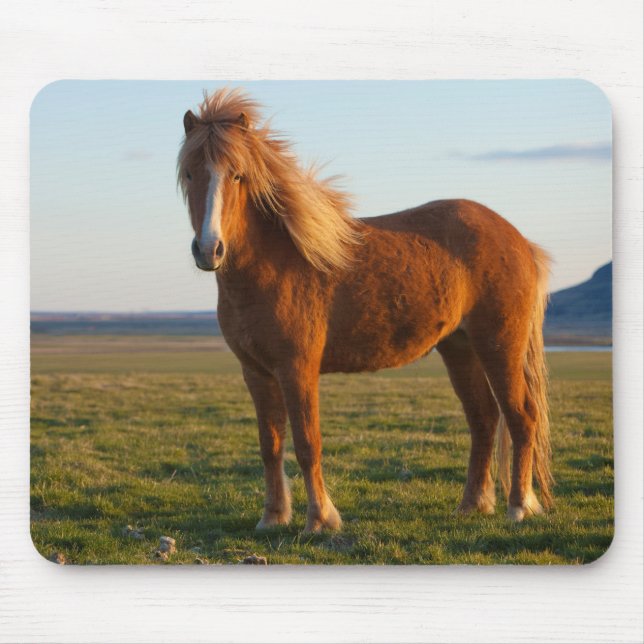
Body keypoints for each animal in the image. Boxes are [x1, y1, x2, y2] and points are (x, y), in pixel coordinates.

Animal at [177, 88, 553, 533]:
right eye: (189, 174)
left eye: (237, 175)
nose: (209, 249)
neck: (271, 264)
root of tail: (518, 239)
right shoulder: (255, 372)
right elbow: (270, 445)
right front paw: (272, 517)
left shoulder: (297, 368)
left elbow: (307, 443)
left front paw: (320, 519)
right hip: (459, 348)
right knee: (484, 419)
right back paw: (473, 504)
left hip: (499, 346)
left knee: (521, 417)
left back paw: (519, 506)